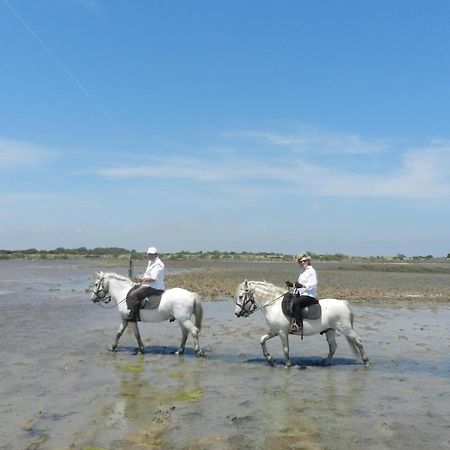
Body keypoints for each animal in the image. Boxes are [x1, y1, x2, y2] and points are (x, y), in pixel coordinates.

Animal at [236, 280, 370, 368]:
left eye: (241, 296)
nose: (237, 313)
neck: (273, 305)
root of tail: (343, 303)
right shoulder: (274, 331)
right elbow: (262, 340)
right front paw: (270, 360)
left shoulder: (282, 332)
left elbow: (285, 349)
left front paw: (288, 365)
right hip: (330, 330)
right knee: (333, 347)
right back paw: (325, 363)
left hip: (346, 329)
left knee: (358, 341)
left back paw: (366, 361)